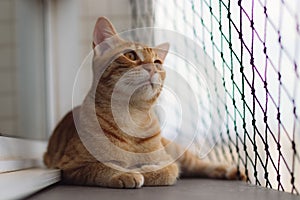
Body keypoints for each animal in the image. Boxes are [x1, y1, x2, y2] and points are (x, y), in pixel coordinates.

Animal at [44, 16, 246, 188]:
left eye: (157, 62)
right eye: (131, 56)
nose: (152, 68)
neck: (132, 118)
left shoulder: (168, 162)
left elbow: (166, 171)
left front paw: (143, 170)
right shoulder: (72, 166)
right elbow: (103, 167)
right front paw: (126, 172)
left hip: (177, 151)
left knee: (197, 164)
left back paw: (229, 170)